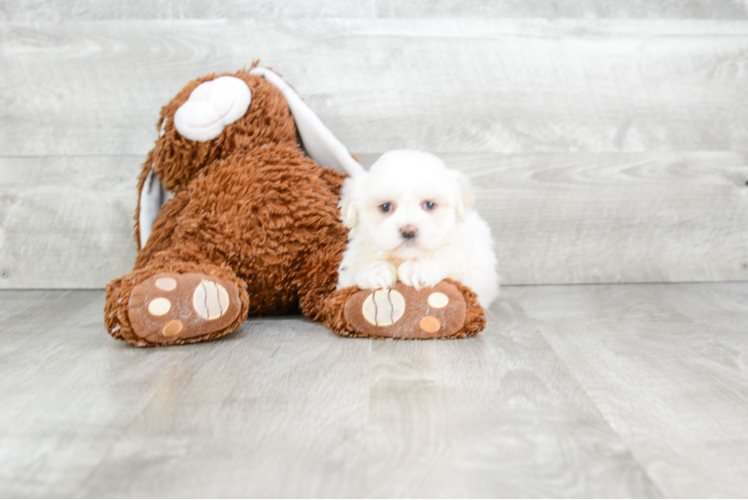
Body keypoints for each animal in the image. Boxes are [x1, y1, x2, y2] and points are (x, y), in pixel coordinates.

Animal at [338, 148, 500, 306]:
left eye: (429, 204)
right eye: (385, 207)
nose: (408, 231)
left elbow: (448, 258)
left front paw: (419, 268)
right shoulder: (347, 272)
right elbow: (354, 271)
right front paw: (375, 270)